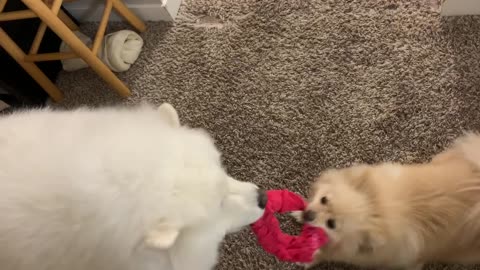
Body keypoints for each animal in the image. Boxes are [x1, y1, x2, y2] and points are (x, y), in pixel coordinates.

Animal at [294, 133, 480, 270]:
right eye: (324, 199)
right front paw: (298, 212)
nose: (309, 215)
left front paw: (310, 258)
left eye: (331, 224)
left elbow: (330, 253)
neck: (377, 209)